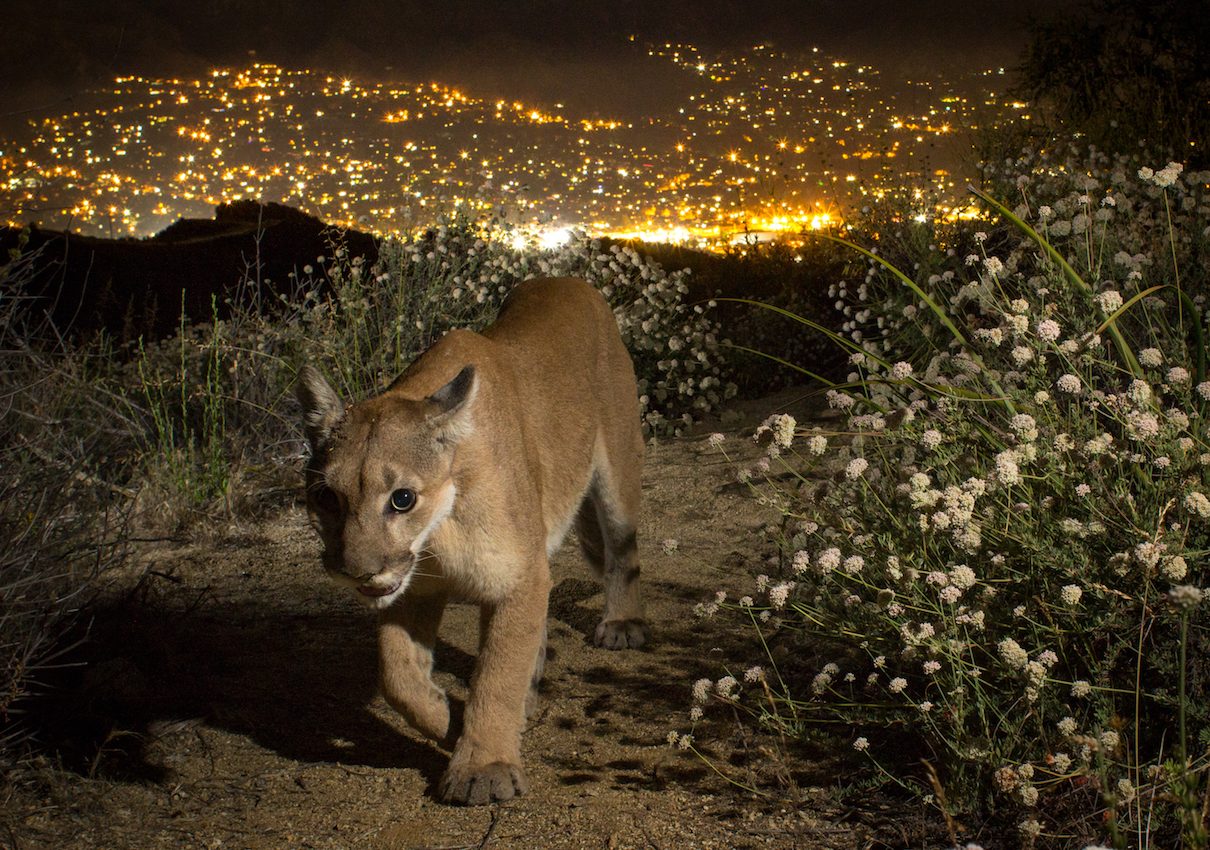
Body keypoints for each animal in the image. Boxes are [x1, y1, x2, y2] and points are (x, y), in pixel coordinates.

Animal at [295, 276, 648, 805]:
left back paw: (621, 624)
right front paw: (444, 718)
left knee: (622, 551)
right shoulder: (415, 588)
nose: (356, 571)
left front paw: (485, 766)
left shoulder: (516, 575)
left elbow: (495, 675)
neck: (438, 531)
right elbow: (396, 671)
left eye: (402, 498)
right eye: (326, 497)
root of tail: (566, 279)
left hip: (616, 471)